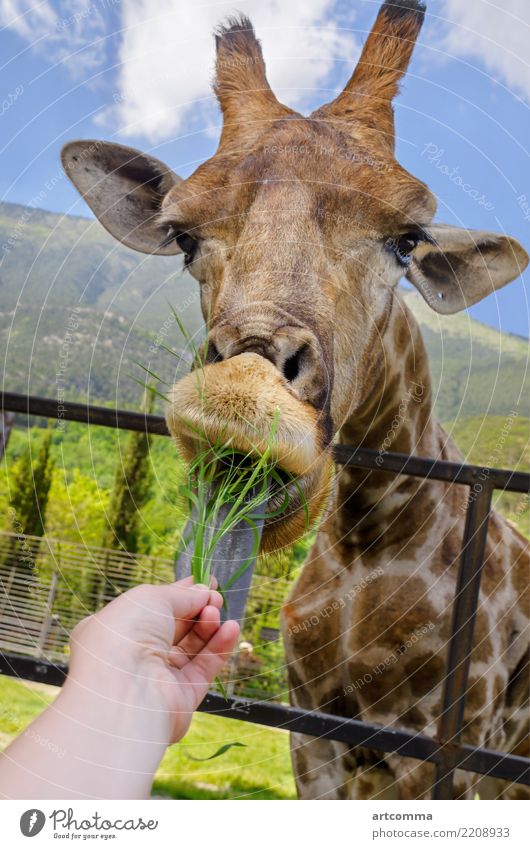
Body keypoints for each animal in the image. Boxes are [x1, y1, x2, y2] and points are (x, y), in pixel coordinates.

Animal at [60, 0, 524, 800]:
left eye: (408, 241)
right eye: (183, 238)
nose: (243, 399)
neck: (371, 540)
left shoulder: (448, 755)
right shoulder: (315, 735)